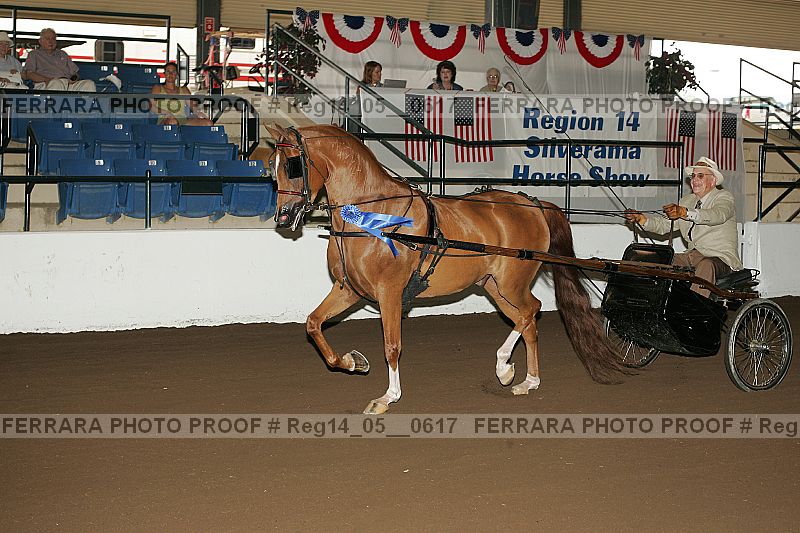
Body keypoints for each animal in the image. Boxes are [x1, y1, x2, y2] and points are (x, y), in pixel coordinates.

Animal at [262, 123, 628, 414]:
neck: (372, 216)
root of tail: (534, 204)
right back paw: (520, 377)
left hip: (511, 282)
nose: (283, 216)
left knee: (529, 312)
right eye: (271, 167)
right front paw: (353, 362)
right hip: (494, 285)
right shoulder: (349, 289)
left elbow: (392, 345)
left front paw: (387, 397)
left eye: (292, 165)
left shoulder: (389, 292)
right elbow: (314, 324)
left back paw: (512, 372)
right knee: (527, 318)